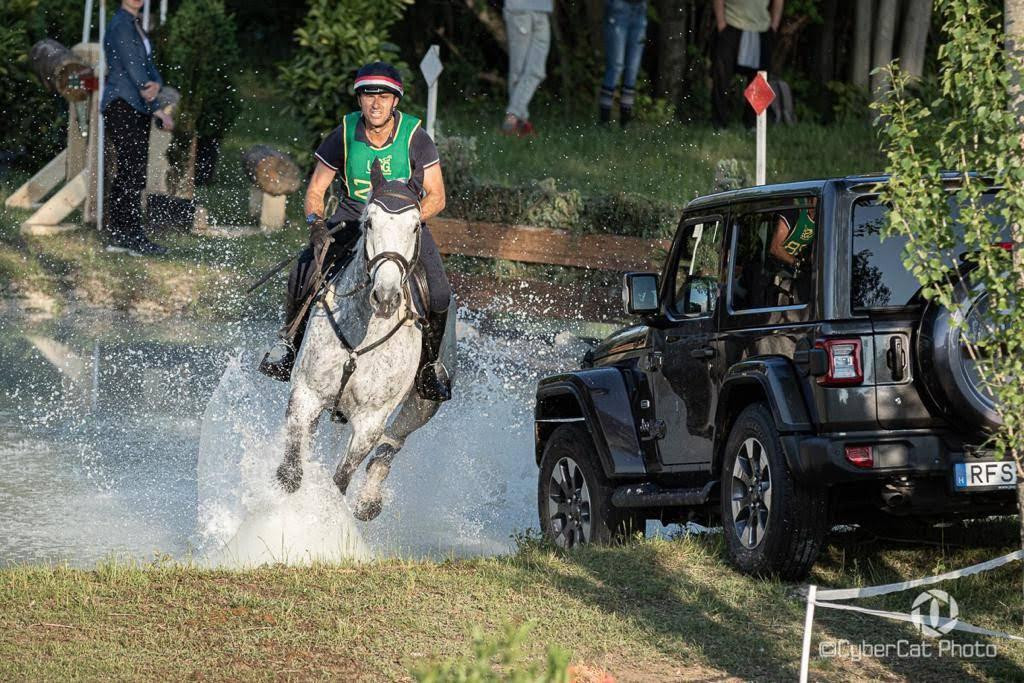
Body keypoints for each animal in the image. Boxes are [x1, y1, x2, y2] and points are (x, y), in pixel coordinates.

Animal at [280, 160, 456, 520]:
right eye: (370, 221)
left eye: (415, 227)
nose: (386, 297)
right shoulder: (306, 392)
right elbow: (292, 466)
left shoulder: (371, 421)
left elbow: (341, 478)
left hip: (423, 404)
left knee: (392, 444)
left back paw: (369, 500)